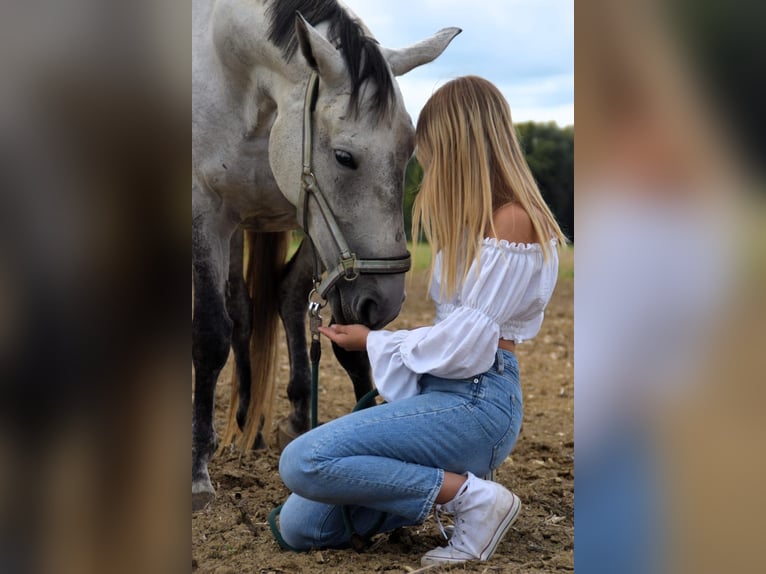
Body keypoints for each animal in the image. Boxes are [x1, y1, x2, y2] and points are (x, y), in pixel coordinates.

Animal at [191, 0, 460, 512]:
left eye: (408, 153)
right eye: (343, 157)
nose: (387, 300)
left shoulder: (312, 221)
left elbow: (327, 327)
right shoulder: (206, 213)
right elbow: (211, 337)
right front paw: (198, 468)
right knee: (237, 315)